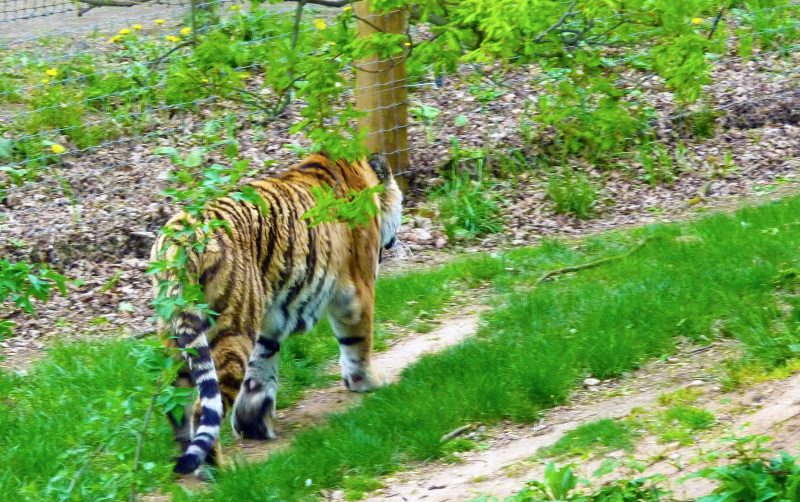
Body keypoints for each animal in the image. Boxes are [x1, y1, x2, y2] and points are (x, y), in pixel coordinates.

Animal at [150, 152, 403, 475]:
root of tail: (179, 240)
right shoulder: (357, 293)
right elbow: (358, 345)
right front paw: (368, 382)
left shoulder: (270, 319)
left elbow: (261, 366)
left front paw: (252, 421)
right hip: (232, 328)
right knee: (202, 408)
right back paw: (218, 470)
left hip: (177, 335)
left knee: (174, 402)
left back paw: (187, 461)